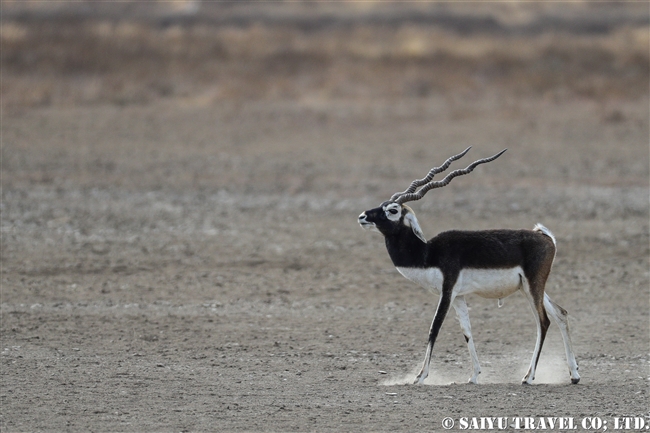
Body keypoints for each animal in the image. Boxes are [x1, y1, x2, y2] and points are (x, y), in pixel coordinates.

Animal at [356, 148, 580, 384]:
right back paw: (574, 375)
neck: (428, 253)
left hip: (532, 286)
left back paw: (528, 377)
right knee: (561, 313)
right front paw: (473, 376)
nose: (363, 216)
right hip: (531, 287)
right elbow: (467, 331)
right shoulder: (458, 296)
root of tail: (544, 236)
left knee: (543, 322)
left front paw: (420, 376)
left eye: (392, 210)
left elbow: (434, 328)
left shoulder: (447, 291)